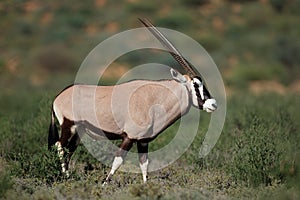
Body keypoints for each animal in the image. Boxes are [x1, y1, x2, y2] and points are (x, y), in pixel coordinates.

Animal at [48, 18, 217, 184]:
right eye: (196, 85)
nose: (213, 104)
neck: (154, 99)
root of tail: (59, 96)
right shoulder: (129, 137)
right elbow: (118, 161)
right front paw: (105, 184)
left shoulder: (143, 141)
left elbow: (144, 164)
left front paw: (145, 186)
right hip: (68, 125)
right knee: (60, 147)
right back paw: (67, 178)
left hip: (79, 131)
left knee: (69, 150)